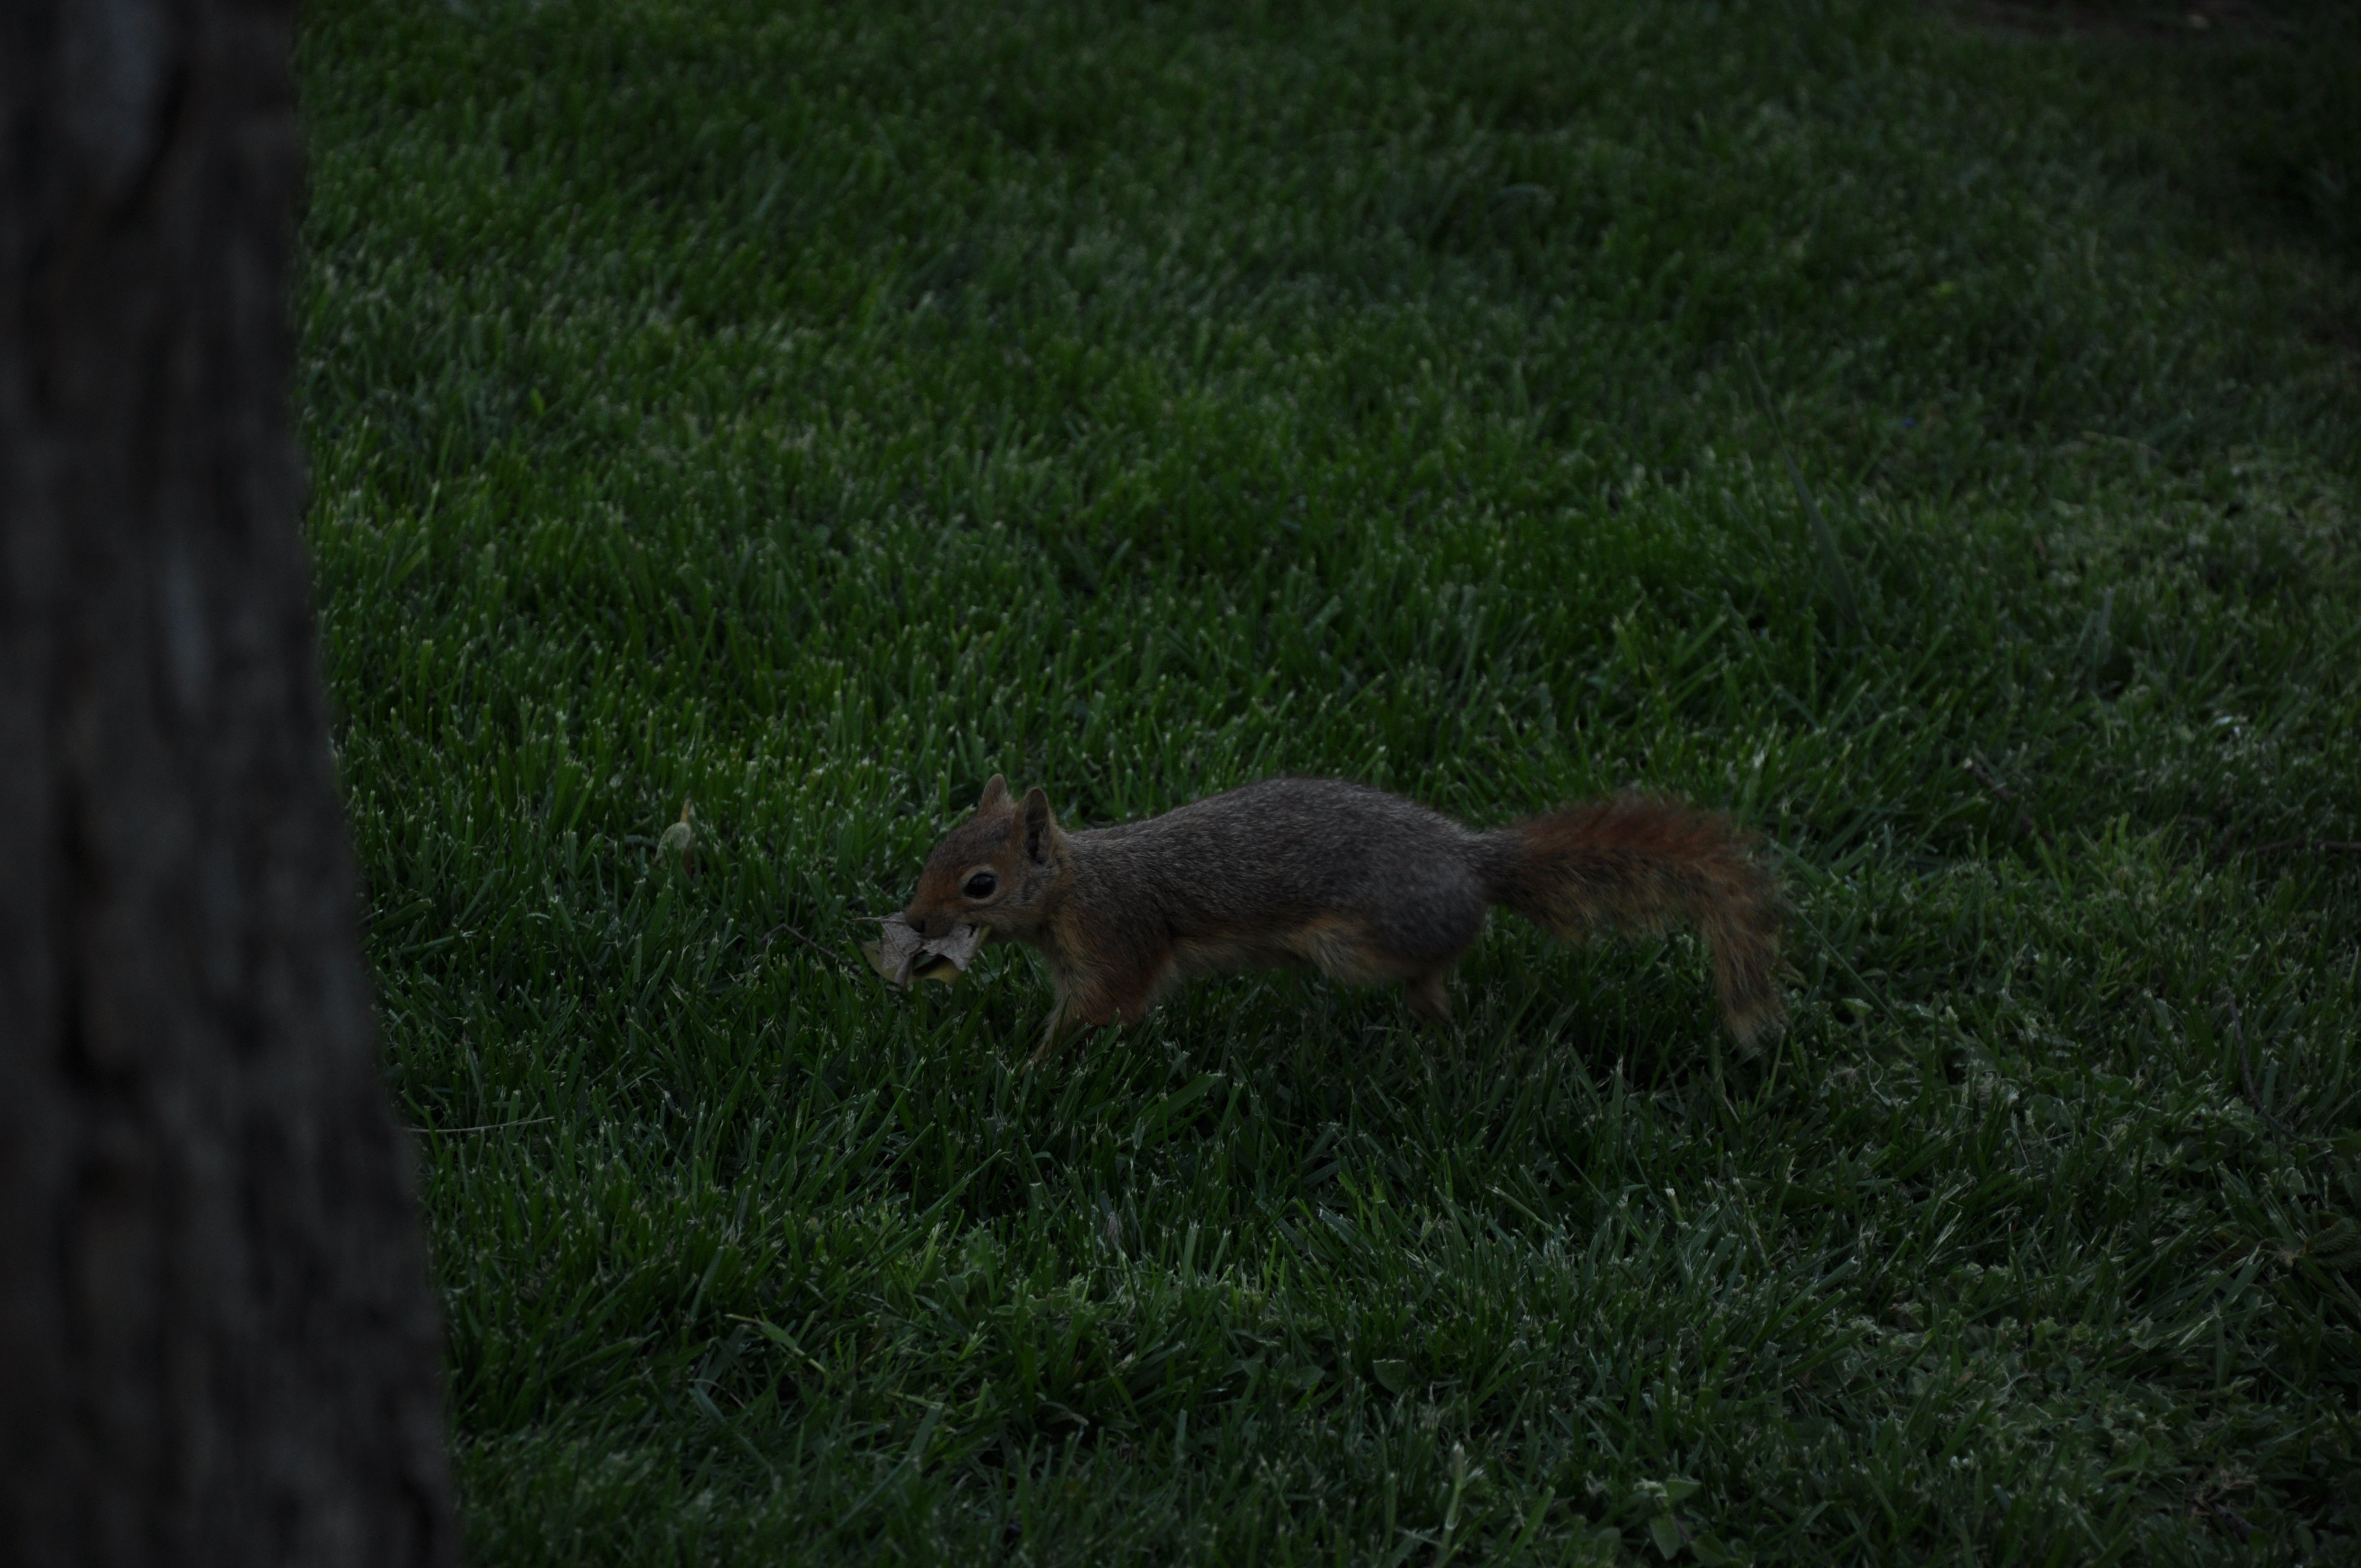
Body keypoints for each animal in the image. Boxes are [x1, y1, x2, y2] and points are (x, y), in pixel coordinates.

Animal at [892, 774, 1775, 1067]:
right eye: (932, 850)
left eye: (979, 885)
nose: (915, 919)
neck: (1076, 888)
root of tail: (1472, 862)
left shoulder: (1117, 943)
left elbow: (1101, 1010)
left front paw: (1029, 1070)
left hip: (1359, 944)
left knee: (1433, 969)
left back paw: (1433, 1023)